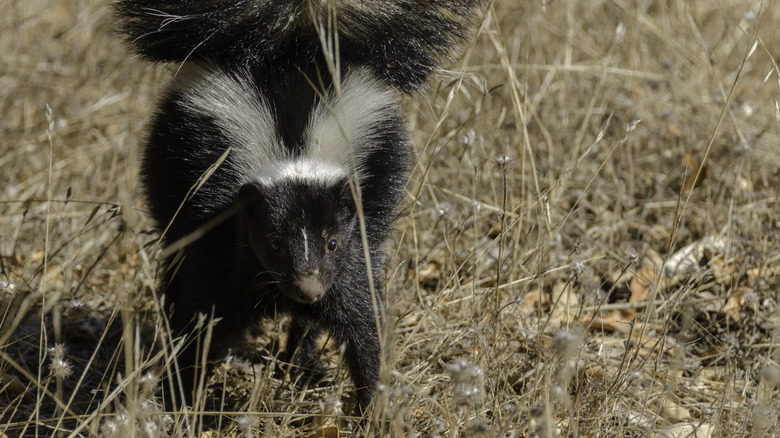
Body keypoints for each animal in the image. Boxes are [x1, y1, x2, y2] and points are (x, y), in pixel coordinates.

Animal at [116, 0, 482, 414]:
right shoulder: (220, 239)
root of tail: (294, 36)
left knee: (312, 319)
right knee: (176, 265)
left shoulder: (351, 248)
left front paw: (374, 407)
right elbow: (201, 318)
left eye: (332, 242)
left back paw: (299, 361)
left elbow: (362, 321)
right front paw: (182, 402)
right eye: (274, 241)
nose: (308, 290)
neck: (295, 153)